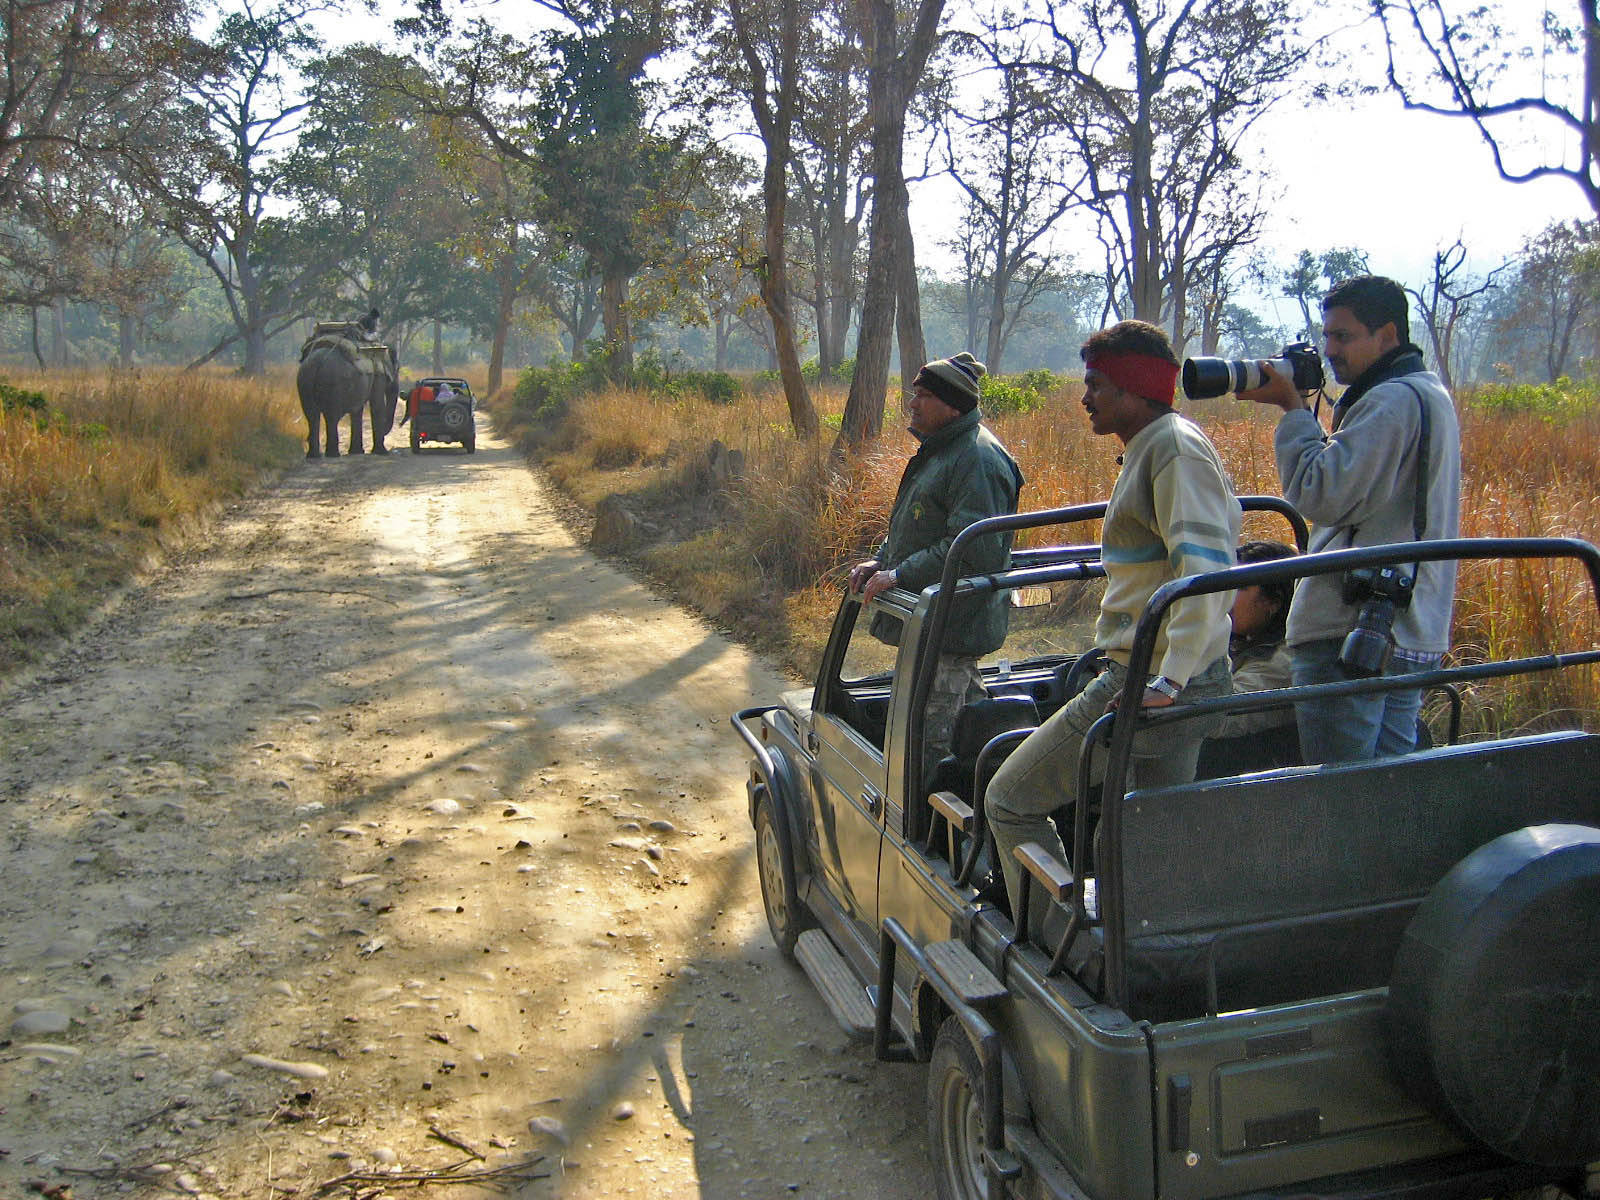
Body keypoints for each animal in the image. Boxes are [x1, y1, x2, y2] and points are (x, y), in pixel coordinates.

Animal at [299, 324, 400, 460]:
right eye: (397, 369)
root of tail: (316, 363)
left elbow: (358, 410)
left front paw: (357, 452)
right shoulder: (378, 373)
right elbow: (377, 405)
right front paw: (382, 452)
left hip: (304, 381)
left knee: (311, 415)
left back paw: (314, 456)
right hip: (333, 382)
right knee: (331, 415)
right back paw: (333, 454)